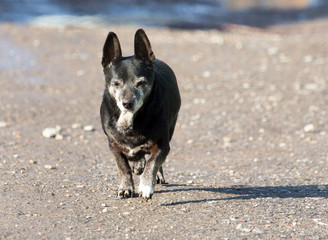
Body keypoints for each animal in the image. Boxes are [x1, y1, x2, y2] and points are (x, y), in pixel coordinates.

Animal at [100, 29, 182, 200]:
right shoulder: (114, 145)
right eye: (116, 83)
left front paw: (145, 186)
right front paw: (126, 187)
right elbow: (123, 167)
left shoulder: (162, 145)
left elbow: (153, 163)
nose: (127, 103)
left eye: (141, 83)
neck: (129, 119)